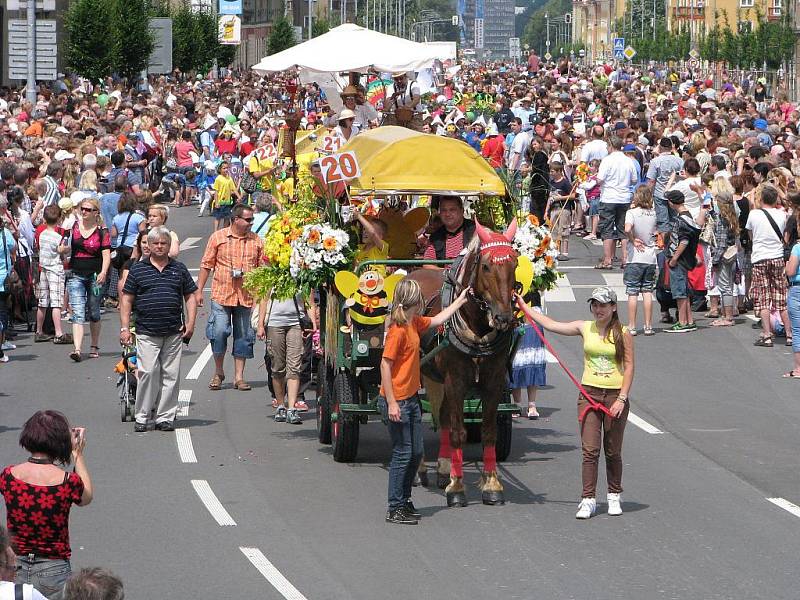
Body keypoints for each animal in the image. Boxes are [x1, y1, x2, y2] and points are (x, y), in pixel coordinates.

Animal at [412, 218, 520, 504]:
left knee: (443, 415)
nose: (504, 318)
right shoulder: (456, 381)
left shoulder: (494, 382)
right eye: (486, 266)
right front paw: (457, 488)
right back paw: (420, 470)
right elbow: (458, 432)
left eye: (515, 263)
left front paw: (491, 485)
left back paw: (442, 470)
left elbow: (488, 431)